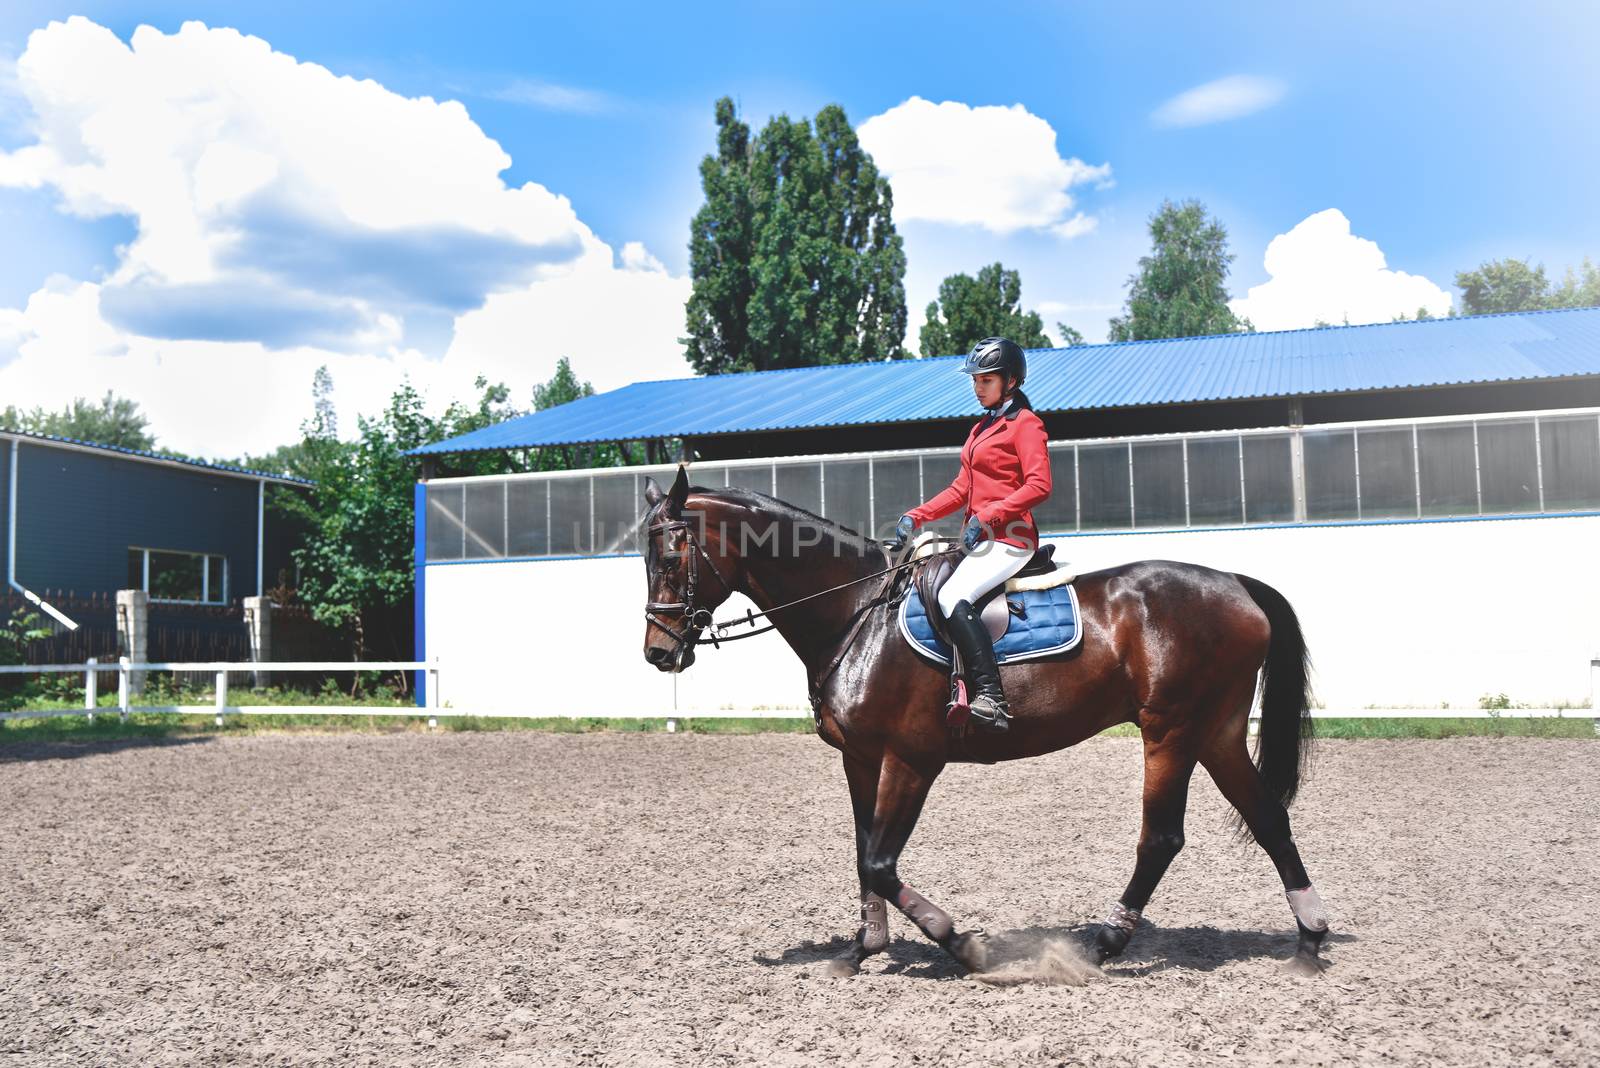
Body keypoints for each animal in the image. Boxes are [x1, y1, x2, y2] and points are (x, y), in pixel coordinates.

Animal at [636, 466, 1324, 978]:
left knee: (1161, 837)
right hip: (1216, 731)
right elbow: (863, 853)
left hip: (1171, 731)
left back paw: (1104, 944)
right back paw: (1309, 941)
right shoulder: (860, 757)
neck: (858, 611)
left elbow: (880, 862)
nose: (659, 654)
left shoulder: (912, 760)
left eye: (671, 557)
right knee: (1268, 818)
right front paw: (861, 949)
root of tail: (1234, 582)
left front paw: (963, 945)